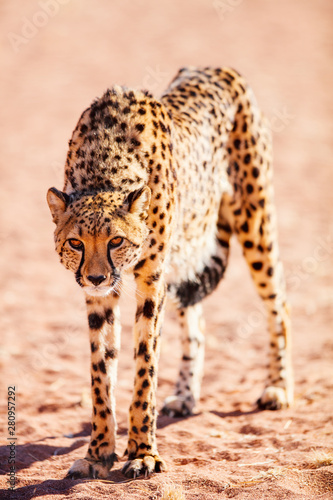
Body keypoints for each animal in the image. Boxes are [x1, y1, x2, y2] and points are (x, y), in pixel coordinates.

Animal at [47, 65, 294, 476]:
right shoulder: (101, 297)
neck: (104, 169)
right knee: (197, 321)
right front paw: (98, 453)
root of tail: (217, 67)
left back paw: (278, 387)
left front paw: (142, 451)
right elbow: (101, 372)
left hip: (254, 222)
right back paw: (185, 396)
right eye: (76, 243)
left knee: (280, 305)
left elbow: (145, 364)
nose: (96, 277)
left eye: (116, 241)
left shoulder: (151, 280)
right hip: (184, 257)